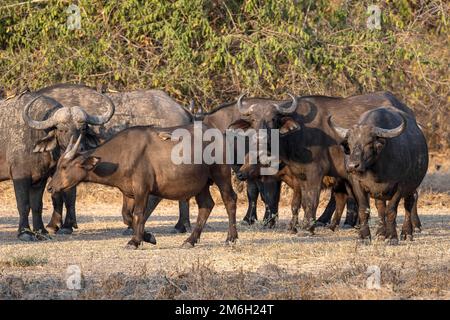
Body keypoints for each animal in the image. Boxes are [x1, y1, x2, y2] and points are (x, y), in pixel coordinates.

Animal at [47, 124, 239, 249]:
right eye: (58, 165)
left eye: (64, 167)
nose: (50, 188)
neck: (122, 155)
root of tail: (220, 136)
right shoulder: (128, 193)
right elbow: (127, 216)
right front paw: (149, 236)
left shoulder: (142, 190)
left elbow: (139, 214)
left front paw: (134, 241)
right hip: (201, 185)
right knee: (206, 206)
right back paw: (190, 241)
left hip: (221, 174)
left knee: (230, 200)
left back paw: (231, 238)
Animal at [328, 106, 428, 244]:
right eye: (351, 144)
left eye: (369, 143)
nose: (352, 166)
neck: (376, 171)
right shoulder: (357, 185)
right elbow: (364, 209)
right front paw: (364, 236)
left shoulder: (400, 186)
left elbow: (391, 211)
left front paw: (392, 237)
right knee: (380, 207)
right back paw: (381, 233)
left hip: (412, 186)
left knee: (409, 203)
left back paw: (407, 233)